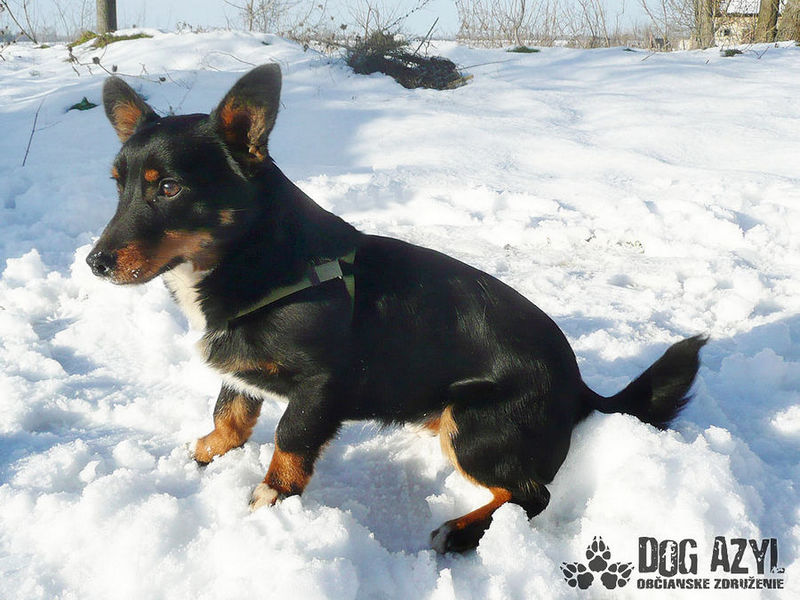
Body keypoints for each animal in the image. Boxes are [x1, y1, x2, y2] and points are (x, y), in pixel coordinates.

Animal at [87, 64, 706, 553]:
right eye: (117, 185)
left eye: (168, 187)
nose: (94, 263)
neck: (257, 257)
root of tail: (580, 388)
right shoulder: (241, 370)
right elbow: (229, 417)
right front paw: (202, 455)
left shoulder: (320, 385)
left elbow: (289, 439)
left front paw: (270, 498)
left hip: (474, 424)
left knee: (531, 495)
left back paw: (462, 532)